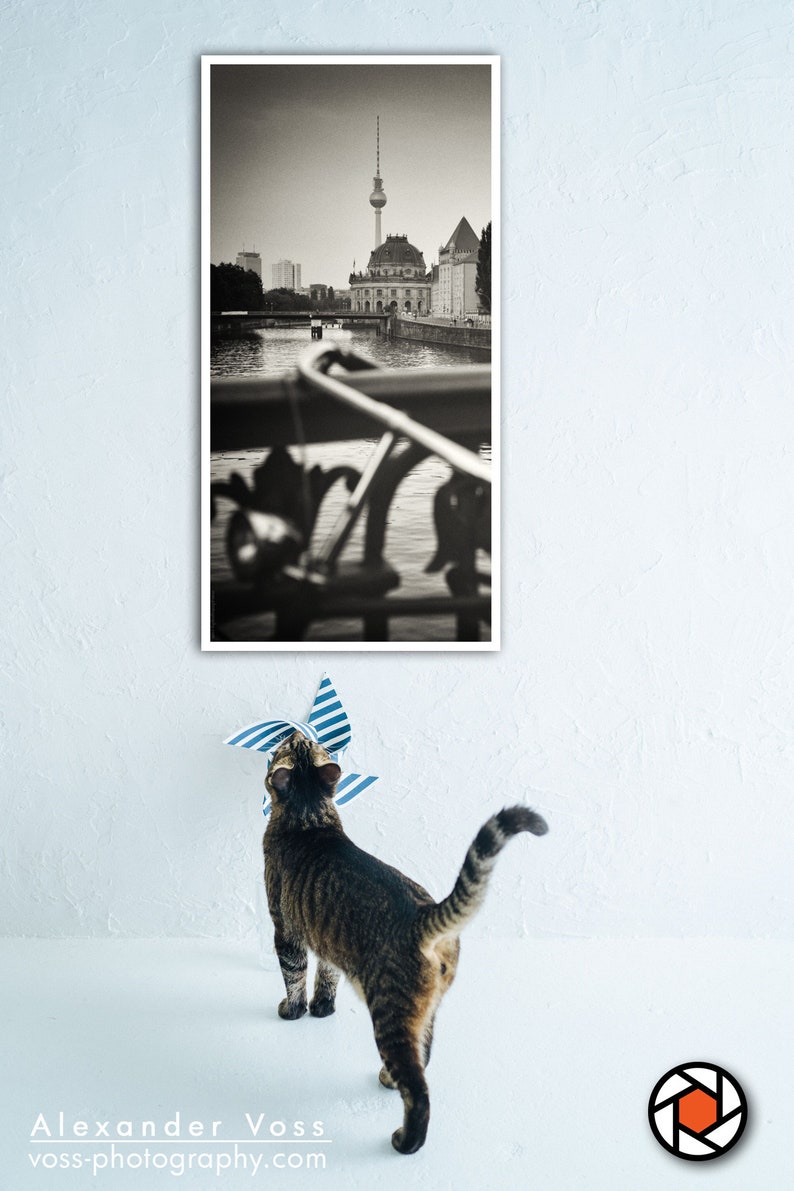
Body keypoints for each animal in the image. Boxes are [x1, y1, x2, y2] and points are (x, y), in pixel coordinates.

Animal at [264, 724, 549, 1152]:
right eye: (307, 744)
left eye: (288, 745)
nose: (296, 730)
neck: (309, 816)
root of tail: (422, 917)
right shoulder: (326, 941)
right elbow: (326, 977)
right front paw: (322, 1009)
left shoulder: (286, 931)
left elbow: (294, 976)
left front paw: (293, 1011)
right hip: (425, 1010)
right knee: (424, 1056)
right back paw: (387, 1079)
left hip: (390, 1014)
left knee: (419, 1087)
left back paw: (405, 1139)